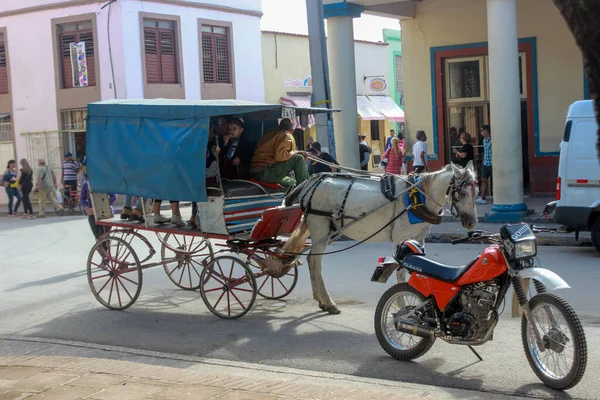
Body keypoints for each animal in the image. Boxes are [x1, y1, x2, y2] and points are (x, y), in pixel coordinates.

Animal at [266, 161, 478, 314]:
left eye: (475, 192)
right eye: (462, 193)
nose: (472, 222)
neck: (418, 197)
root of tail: (311, 182)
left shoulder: (418, 238)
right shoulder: (400, 238)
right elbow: (401, 273)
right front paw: (402, 305)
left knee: (313, 261)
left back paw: (322, 301)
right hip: (320, 225)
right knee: (315, 261)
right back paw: (328, 302)